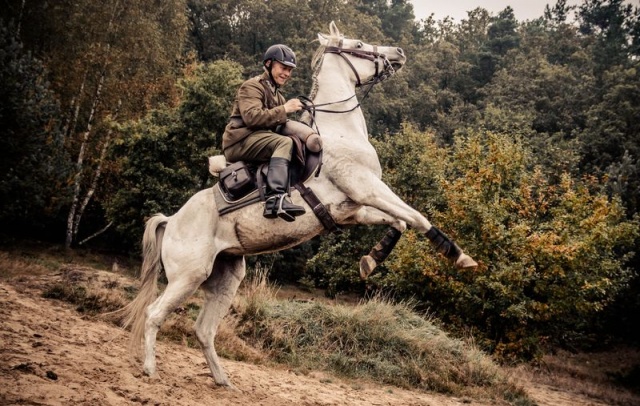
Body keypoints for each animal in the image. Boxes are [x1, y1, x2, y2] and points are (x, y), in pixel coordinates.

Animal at [122, 21, 478, 386]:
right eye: (358, 44)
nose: (398, 53)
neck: (339, 134)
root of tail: (172, 220)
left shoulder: (355, 208)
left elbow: (400, 222)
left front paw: (370, 261)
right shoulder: (367, 189)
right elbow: (417, 218)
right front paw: (459, 255)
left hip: (225, 279)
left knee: (204, 330)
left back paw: (223, 380)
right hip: (188, 277)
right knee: (154, 314)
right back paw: (150, 368)